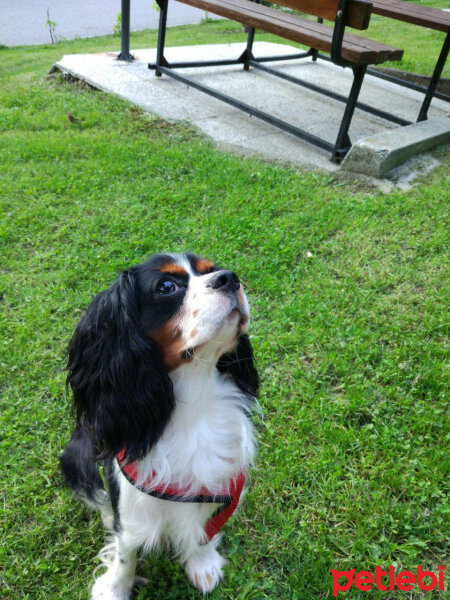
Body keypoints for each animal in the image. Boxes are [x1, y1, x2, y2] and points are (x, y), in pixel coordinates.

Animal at [59, 253, 260, 600]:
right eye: (167, 286)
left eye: (211, 269)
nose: (229, 278)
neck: (193, 400)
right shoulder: (130, 497)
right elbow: (126, 549)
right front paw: (115, 589)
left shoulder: (218, 479)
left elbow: (203, 529)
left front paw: (202, 564)